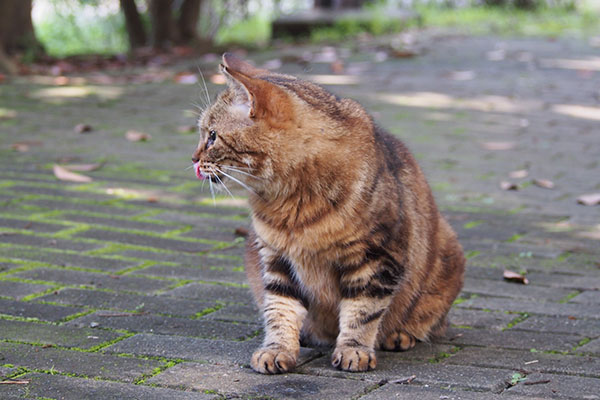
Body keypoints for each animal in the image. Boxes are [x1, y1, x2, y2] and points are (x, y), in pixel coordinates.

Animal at [191, 51, 464, 374]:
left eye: (212, 136)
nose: (193, 159)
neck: (291, 206)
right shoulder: (276, 260)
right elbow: (279, 310)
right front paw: (277, 349)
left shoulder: (376, 258)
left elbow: (362, 313)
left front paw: (354, 350)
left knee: (430, 321)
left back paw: (400, 335)